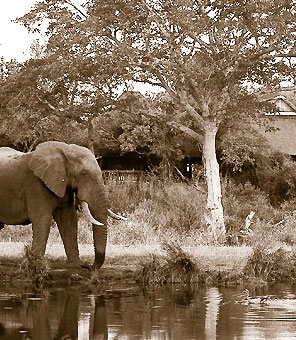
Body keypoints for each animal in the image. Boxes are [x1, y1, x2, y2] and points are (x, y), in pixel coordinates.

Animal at [0, 141, 108, 270]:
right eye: (83, 173)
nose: (87, 266)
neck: (65, 150)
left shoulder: (64, 185)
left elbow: (68, 220)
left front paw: (74, 266)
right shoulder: (35, 184)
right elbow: (43, 219)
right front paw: (37, 266)